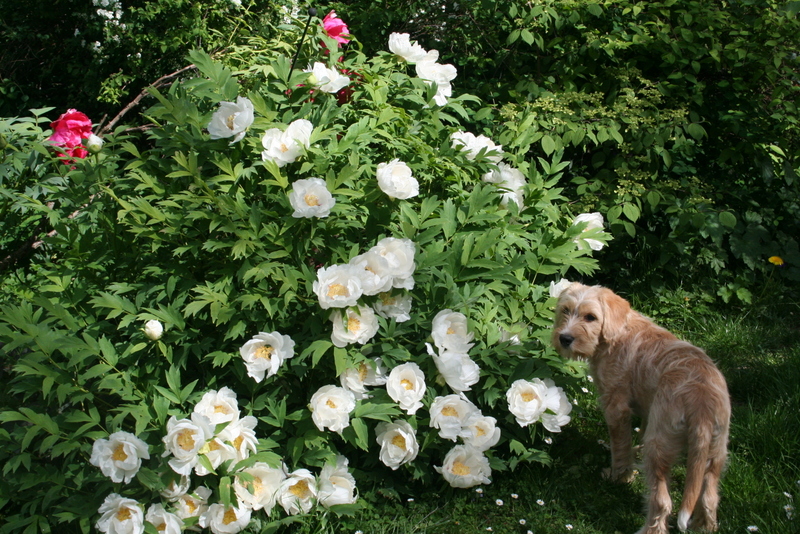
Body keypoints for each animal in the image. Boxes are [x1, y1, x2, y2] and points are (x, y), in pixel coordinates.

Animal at [551, 283, 730, 534]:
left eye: (590, 317)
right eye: (565, 310)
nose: (564, 338)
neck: (617, 332)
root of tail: (701, 402)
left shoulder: (616, 408)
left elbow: (620, 448)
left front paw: (618, 476)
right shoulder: (648, 409)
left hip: (659, 447)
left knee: (662, 501)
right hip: (716, 451)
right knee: (709, 498)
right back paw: (703, 527)